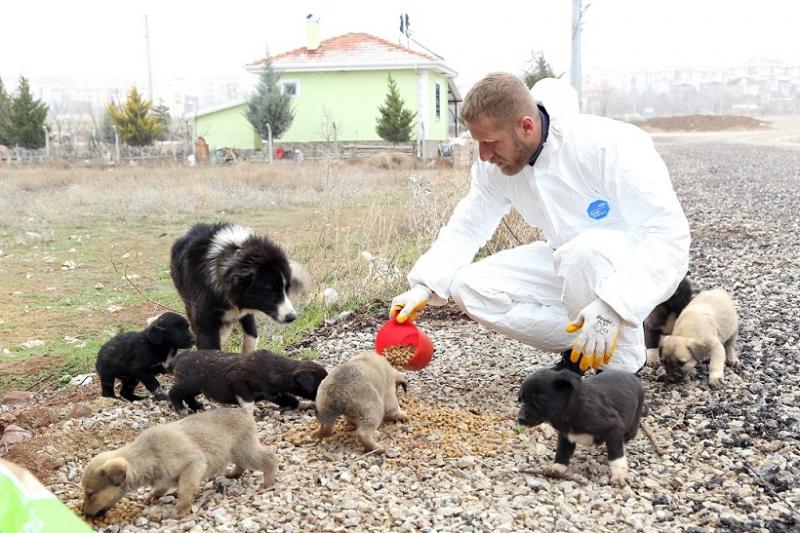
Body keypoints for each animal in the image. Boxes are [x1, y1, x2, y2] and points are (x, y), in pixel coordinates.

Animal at [80, 408, 276, 516]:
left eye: (90, 494)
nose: (83, 513)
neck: (148, 455)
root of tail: (243, 410)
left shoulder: (194, 464)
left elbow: (184, 489)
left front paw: (181, 509)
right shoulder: (164, 478)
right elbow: (161, 487)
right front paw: (153, 495)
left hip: (245, 451)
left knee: (269, 458)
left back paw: (268, 483)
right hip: (234, 452)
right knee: (242, 465)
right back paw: (234, 474)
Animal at [169, 222, 306, 352]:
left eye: (287, 288)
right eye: (269, 289)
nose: (292, 317)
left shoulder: (246, 307)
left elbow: (252, 335)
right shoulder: (204, 318)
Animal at [169, 348, 328, 414]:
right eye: (320, 385)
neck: (277, 368)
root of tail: (179, 357)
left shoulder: (275, 393)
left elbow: (290, 400)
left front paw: (303, 405)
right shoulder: (236, 380)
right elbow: (248, 400)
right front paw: (250, 410)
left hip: (195, 386)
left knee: (188, 396)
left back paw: (196, 406)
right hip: (190, 382)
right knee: (174, 392)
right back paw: (181, 409)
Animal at [516, 368, 648, 484]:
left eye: (538, 399)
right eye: (522, 399)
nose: (520, 419)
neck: (572, 407)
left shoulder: (613, 428)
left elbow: (616, 455)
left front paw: (619, 475)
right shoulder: (565, 435)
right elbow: (562, 451)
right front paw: (558, 467)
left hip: (632, 427)